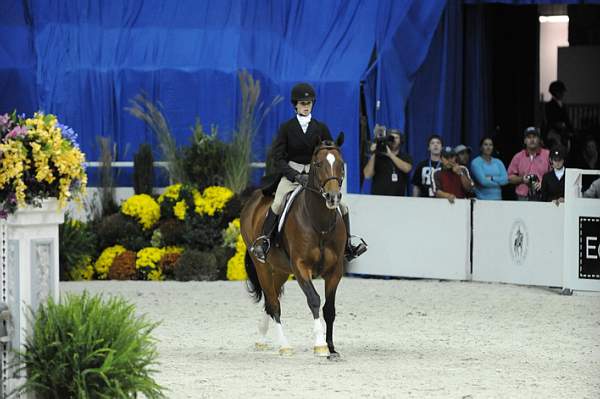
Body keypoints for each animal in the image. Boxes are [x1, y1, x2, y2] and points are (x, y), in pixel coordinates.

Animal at [238, 135, 342, 360]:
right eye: (318, 164)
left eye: (340, 163)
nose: (333, 197)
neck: (320, 223)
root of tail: (254, 198)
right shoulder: (301, 266)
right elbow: (314, 299)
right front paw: (320, 345)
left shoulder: (335, 270)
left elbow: (329, 308)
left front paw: (332, 348)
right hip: (263, 266)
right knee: (273, 303)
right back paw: (284, 346)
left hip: (280, 269)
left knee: (271, 299)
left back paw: (262, 339)